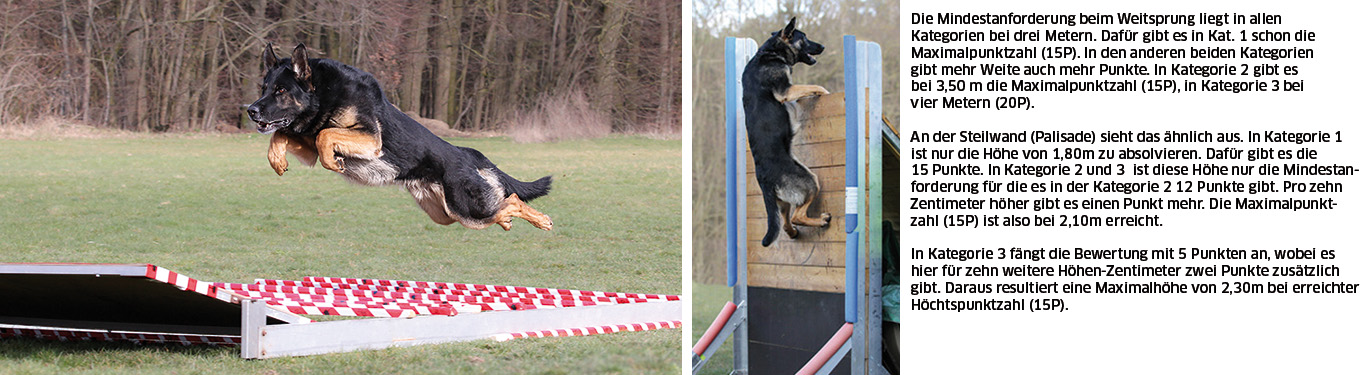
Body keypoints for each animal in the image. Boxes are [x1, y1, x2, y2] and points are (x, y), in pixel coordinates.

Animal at [246, 43, 549, 231]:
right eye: (264, 88)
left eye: (281, 91)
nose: (251, 110)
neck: (321, 94)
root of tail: (466, 153)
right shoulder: (307, 143)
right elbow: (282, 134)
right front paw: (277, 161)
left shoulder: (371, 139)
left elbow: (325, 135)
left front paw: (333, 162)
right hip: (446, 215)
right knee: (501, 206)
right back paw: (511, 222)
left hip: (466, 208)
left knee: (512, 200)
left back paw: (542, 220)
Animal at [744, 18, 826, 246]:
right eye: (804, 38)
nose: (822, 47)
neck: (771, 52)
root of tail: (766, 183)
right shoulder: (785, 91)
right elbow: (814, 86)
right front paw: (825, 91)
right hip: (811, 180)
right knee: (797, 216)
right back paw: (821, 220)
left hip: (784, 202)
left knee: (786, 225)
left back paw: (795, 232)